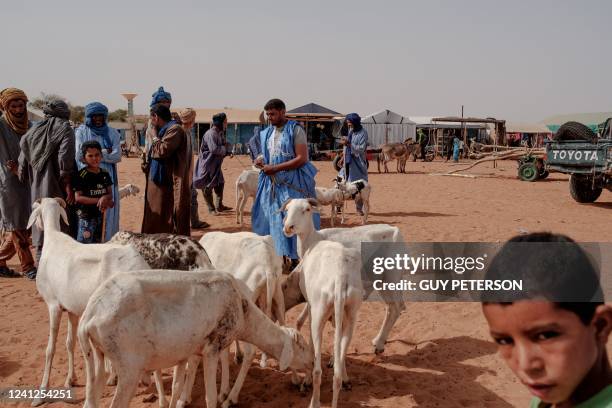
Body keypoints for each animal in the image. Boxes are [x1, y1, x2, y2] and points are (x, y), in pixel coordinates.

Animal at [27, 198, 153, 404]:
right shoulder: (71, 310)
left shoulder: (53, 306)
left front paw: (41, 394)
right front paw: (70, 380)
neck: (53, 239)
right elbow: (69, 343)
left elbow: (50, 349)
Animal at [78, 270, 314, 408]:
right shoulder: (212, 348)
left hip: (96, 358)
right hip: (129, 366)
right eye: (301, 346)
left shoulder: (188, 351)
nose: (313, 363)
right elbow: (210, 397)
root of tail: (90, 314)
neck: (243, 311)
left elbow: (177, 386)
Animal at [282, 198, 364, 408]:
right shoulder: (337, 314)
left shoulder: (312, 306)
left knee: (318, 369)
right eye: (287, 209)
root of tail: (340, 276)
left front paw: (306, 381)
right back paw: (340, 379)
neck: (312, 243)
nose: (288, 227)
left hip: (320, 310)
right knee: (337, 369)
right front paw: (344, 374)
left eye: (307, 209)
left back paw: (313, 397)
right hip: (351, 312)